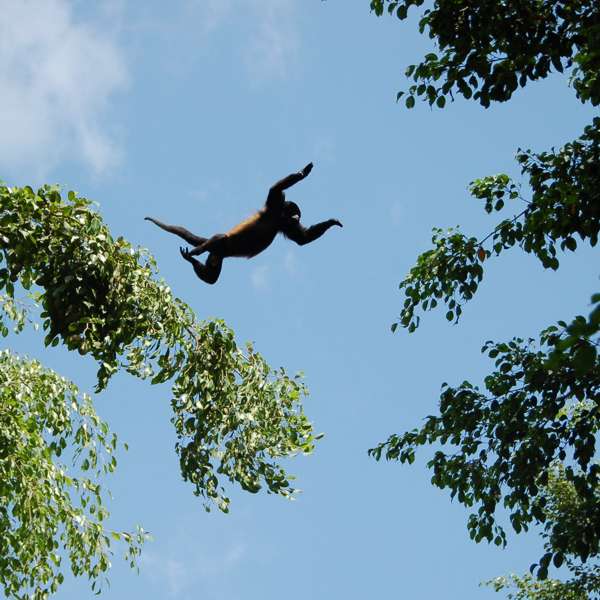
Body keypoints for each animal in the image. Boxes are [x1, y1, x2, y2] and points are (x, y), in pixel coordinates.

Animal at [144, 163, 342, 284]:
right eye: (294, 213)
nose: (297, 218)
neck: (278, 217)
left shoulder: (285, 225)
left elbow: (303, 239)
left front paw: (332, 222)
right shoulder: (274, 205)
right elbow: (275, 189)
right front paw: (303, 173)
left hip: (217, 256)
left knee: (211, 278)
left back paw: (191, 259)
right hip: (221, 246)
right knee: (220, 237)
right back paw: (197, 251)